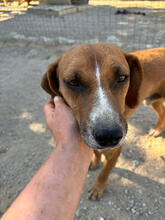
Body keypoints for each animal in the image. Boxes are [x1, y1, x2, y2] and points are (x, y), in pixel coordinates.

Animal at [40, 43, 164, 199]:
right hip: (154, 101)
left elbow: (104, 173)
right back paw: (157, 130)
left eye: (122, 77)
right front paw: (95, 161)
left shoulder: (115, 152)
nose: (109, 136)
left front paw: (98, 188)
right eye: (73, 82)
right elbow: (96, 152)